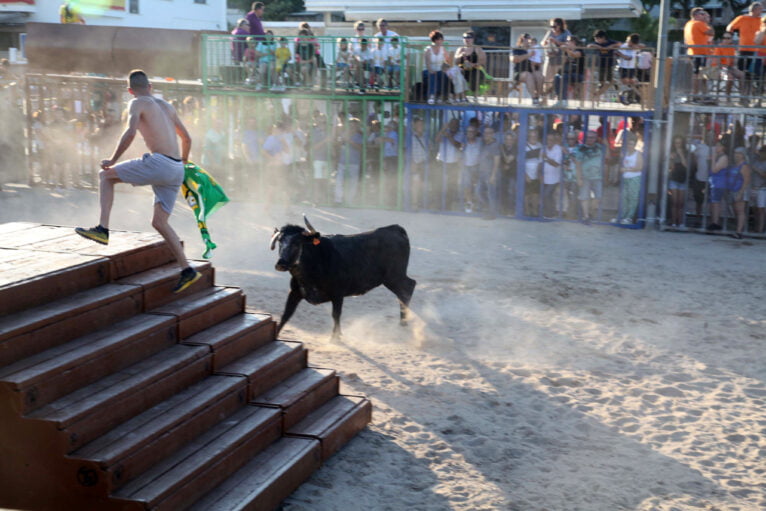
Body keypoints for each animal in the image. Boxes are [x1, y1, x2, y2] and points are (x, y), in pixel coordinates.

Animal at [268, 217, 416, 340]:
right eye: (280, 241)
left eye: (297, 242)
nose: (281, 264)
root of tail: (394, 229)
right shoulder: (295, 292)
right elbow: (286, 314)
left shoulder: (338, 294)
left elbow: (336, 315)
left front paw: (335, 337)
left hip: (394, 276)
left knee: (407, 288)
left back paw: (403, 322)